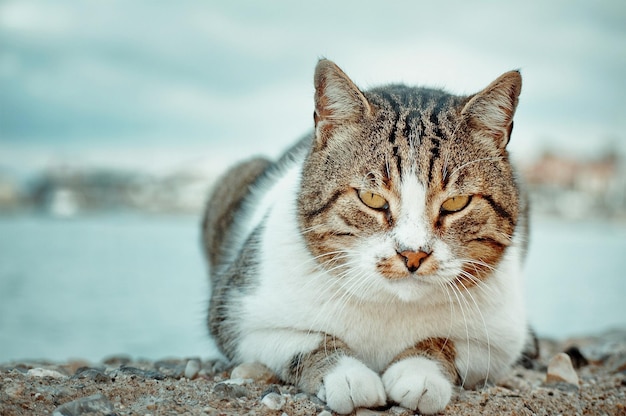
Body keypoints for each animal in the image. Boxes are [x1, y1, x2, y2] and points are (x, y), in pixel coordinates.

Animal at [202, 59, 528, 416]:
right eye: (371, 198)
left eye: (456, 203)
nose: (412, 254)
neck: (392, 305)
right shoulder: (238, 316)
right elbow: (305, 342)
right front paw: (346, 375)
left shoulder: (500, 340)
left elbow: (446, 343)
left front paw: (419, 371)